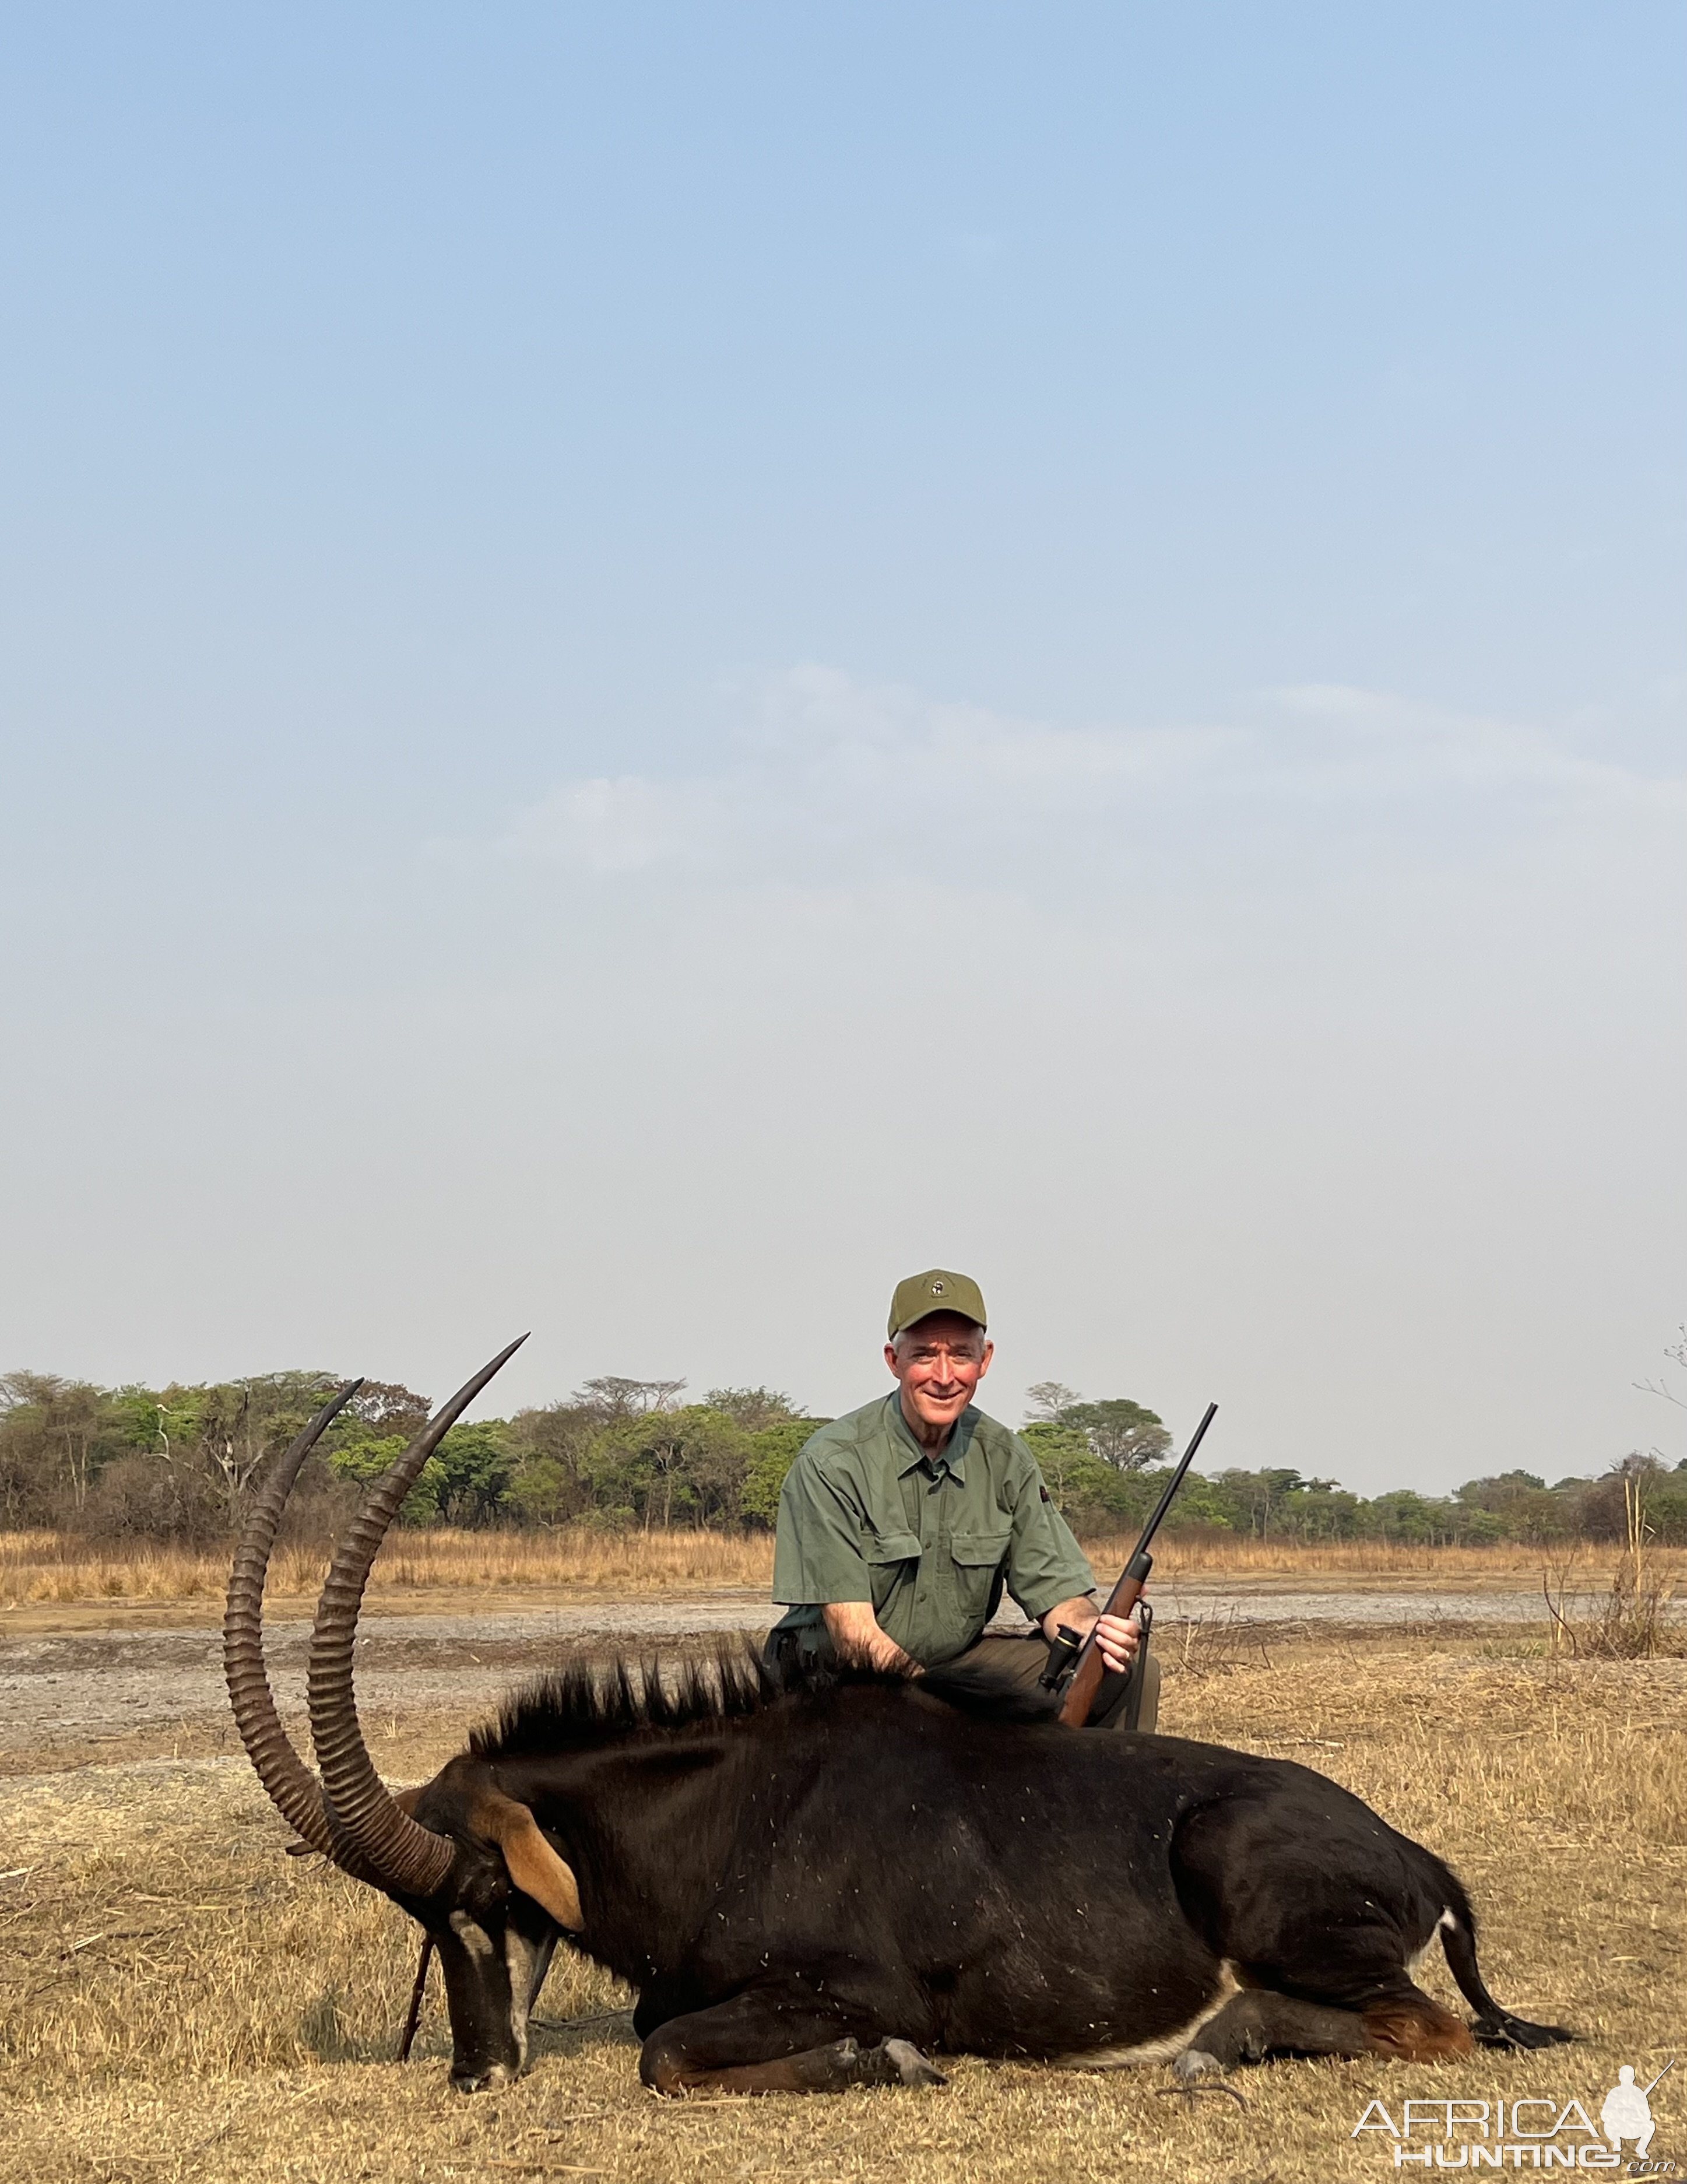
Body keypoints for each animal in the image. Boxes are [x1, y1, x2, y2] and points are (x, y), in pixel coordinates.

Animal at [220, 1345, 1562, 2097]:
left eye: (487, 1898)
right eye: (420, 1923)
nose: (476, 2073)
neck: (729, 1808)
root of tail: (1414, 1852)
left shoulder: (848, 1986)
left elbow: (665, 2052)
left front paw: (889, 2063)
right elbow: (656, 2026)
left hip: (1247, 1874)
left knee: (1427, 2027)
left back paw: (1212, 2041)